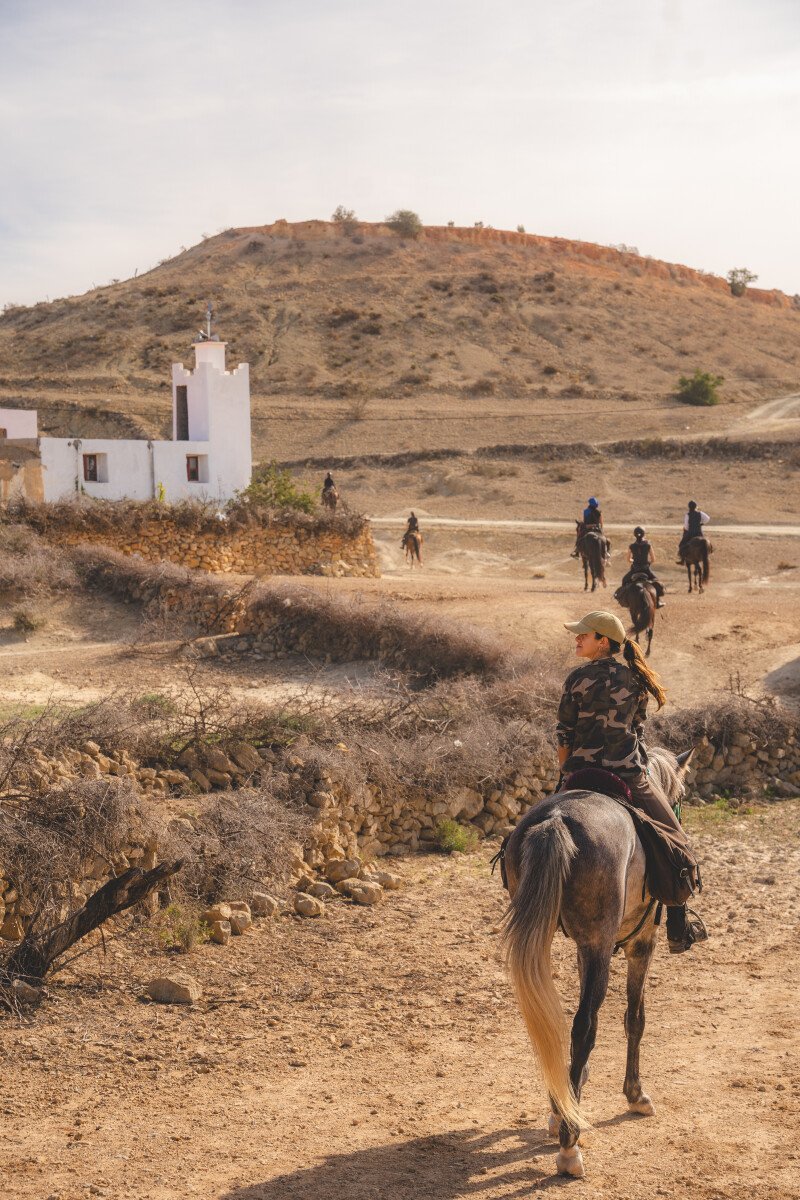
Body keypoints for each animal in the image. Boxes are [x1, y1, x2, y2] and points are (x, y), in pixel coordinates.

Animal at [501, 744, 695, 1176]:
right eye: (680, 796)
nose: (677, 812)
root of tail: (556, 821)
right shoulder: (641, 943)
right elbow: (635, 1019)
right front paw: (635, 1094)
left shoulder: (585, 950)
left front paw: (570, 1094)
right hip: (602, 945)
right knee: (583, 1026)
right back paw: (569, 1146)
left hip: (559, 940)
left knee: (555, 1025)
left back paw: (563, 1112)